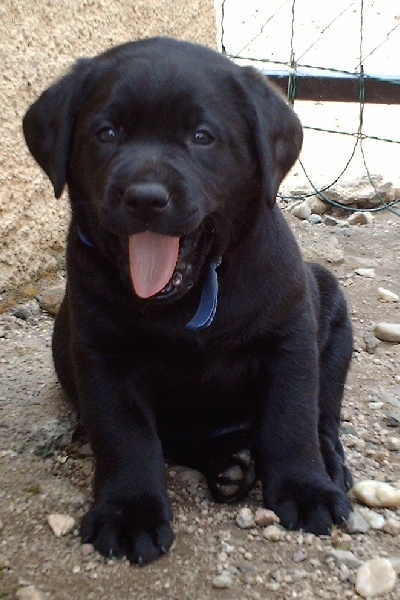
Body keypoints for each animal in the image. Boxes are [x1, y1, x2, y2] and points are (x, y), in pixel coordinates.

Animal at [23, 37, 353, 565]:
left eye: (202, 137)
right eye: (106, 133)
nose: (145, 197)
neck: (190, 298)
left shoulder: (289, 337)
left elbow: (291, 418)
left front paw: (306, 490)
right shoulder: (102, 356)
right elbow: (125, 435)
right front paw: (129, 512)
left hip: (334, 314)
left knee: (324, 413)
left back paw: (321, 466)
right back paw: (229, 465)